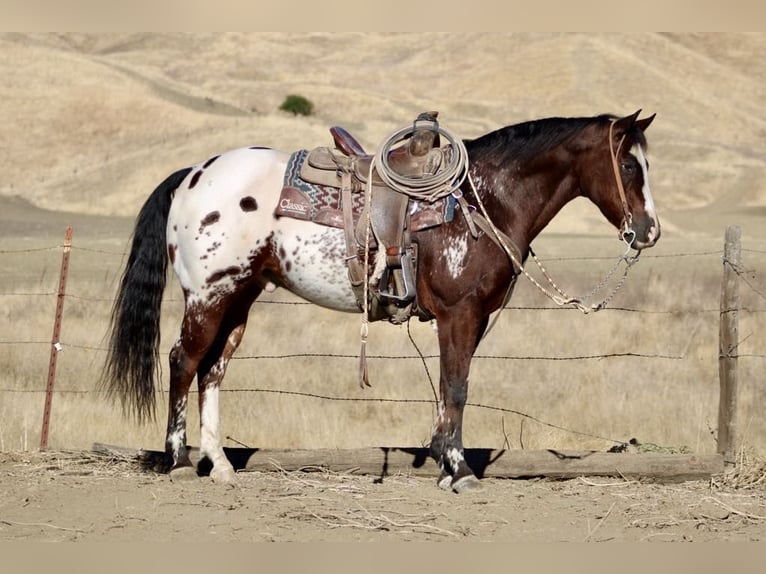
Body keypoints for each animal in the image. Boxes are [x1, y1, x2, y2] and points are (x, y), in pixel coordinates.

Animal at [102, 110, 659, 493]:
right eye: (628, 165)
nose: (649, 231)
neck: (484, 200)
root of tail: (195, 173)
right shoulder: (459, 315)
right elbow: (457, 388)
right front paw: (458, 469)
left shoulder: (469, 320)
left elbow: (448, 388)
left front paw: (444, 461)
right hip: (208, 293)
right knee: (184, 361)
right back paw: (178, 460)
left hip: (239, 297)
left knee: (213, 369)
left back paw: (218, 464)